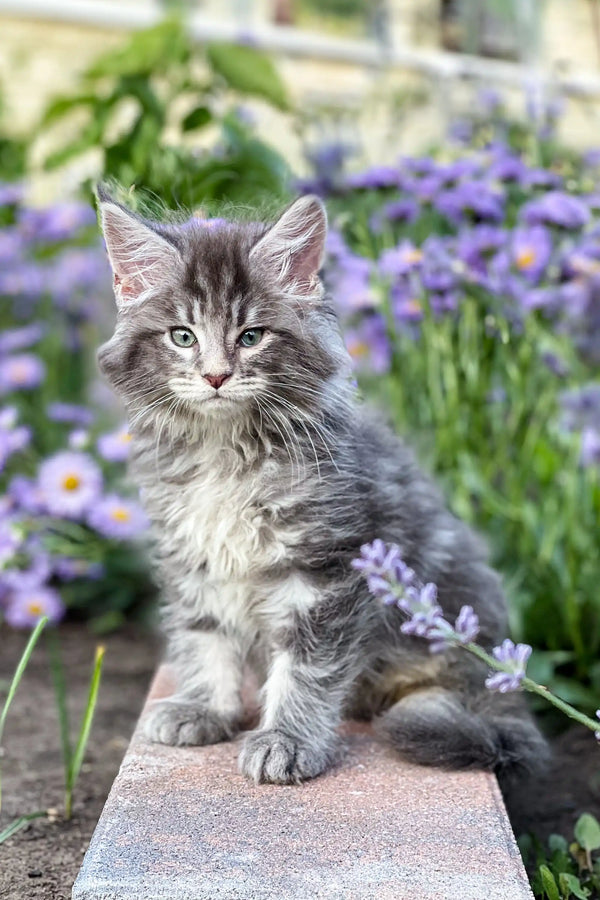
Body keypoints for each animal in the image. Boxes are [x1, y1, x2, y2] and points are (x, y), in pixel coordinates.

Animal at [97, 188, 548, 780]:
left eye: (251, 336)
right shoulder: (193, 554)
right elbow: (205, 639)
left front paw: (287, 740)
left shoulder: (325, 569)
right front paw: (205, 708)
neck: (226, 453)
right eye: (182, 336)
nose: (216, 376)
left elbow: (306, 668)